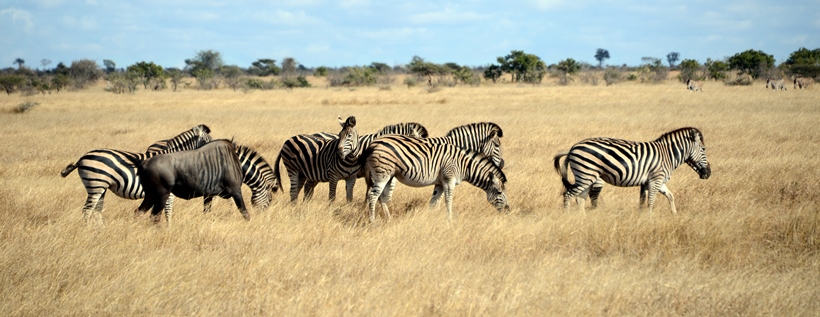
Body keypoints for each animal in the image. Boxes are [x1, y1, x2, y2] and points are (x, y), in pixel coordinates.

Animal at [60, 124, 211, 221]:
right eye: (206, 140)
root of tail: (82, 158)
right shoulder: (169, 192)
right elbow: (167, 211)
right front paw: (167, 230)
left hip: (100, 187)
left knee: (97, 211)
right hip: (96, 184)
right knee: (87, 210)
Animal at [364, 135, 510, 221]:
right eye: (499, 192)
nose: (508, 210)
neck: (464, 165)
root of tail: (373, 143)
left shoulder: (439, 183)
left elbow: (433, 202)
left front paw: (429, 218)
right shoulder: (449, 179)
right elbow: (448, 200)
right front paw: (449, 221)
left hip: (389, 176)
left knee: (382, 197)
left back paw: (389, 219)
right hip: (382, 175)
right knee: (373, 196)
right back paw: (373, 222)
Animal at [552, 127, 712, 214]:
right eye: (704, 149)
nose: (708, 173)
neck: (667, 155)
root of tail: (572, 148)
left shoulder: (654, 181)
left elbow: (667, 196)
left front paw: (673, 214)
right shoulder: (656, 179)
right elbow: (651, 201)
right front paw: (649, 218)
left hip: (586, 177)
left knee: (580, 199)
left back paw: (583, 219)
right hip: (586, 175)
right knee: (568, 195)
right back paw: (568, 217)